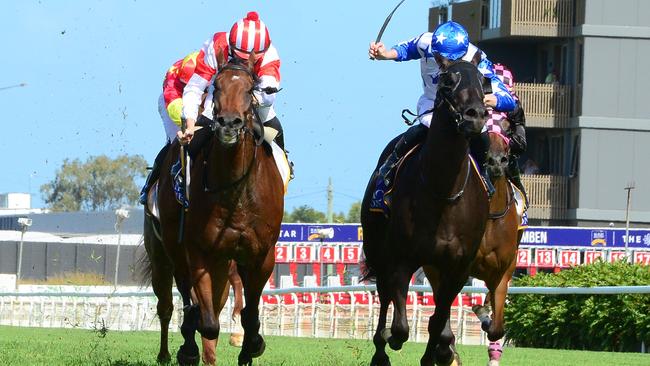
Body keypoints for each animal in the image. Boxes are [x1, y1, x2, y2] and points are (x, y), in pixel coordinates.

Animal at [152, 53, 284, 364]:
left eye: (250, 90)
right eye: (217, 86)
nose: (228, 124)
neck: (235, 191)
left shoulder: (260, 255)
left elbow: (250, 314)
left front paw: (251, 346)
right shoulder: (198, 251)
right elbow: (208, 321)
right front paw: (191, 348)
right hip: (167, 253)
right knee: (171, 303)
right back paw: (174, 351)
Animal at [360, 52, 486, 366]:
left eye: (484, 80)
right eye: (447, 81)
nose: (475, 115)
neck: (444, 193)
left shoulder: (457, 268)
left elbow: (438, 320)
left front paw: (439, 352)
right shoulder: (402, 259)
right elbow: (400, 326)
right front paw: (393, 340)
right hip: (377, 249)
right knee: (384, 297)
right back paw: (381, 351)